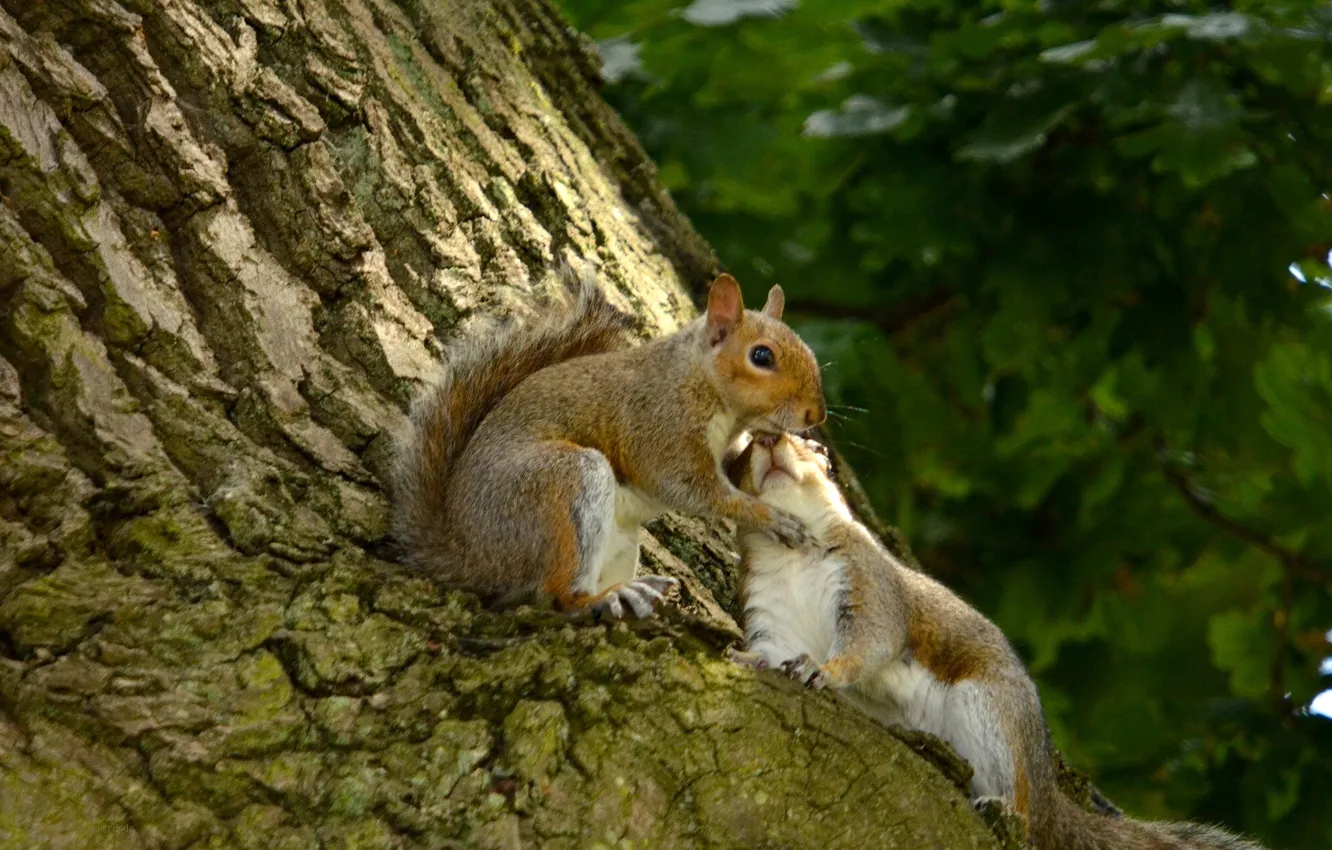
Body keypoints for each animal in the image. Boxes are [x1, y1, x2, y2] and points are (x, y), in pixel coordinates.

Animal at [392, 266, 826, 619]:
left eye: (807, 349)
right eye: (761, 356)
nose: (816, 415)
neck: (701, 383)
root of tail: (471, 554)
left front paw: (804, 451)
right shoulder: (661, 428)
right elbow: (693, 490)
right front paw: (771, 518)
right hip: (558, 488)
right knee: (556, 595)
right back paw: (601, 599)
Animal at [724, 431, 1266, 850]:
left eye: (816, 449)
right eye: (739, 455)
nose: (769, 440)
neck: (793, 553)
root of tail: (1047, 790)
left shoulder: (871, 583)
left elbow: (871, 642)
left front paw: (825, 669)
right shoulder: (771, 613)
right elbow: (772, 649)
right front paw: (747, 659)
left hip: (988, 709)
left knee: (1021, 809)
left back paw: (1002, 803)